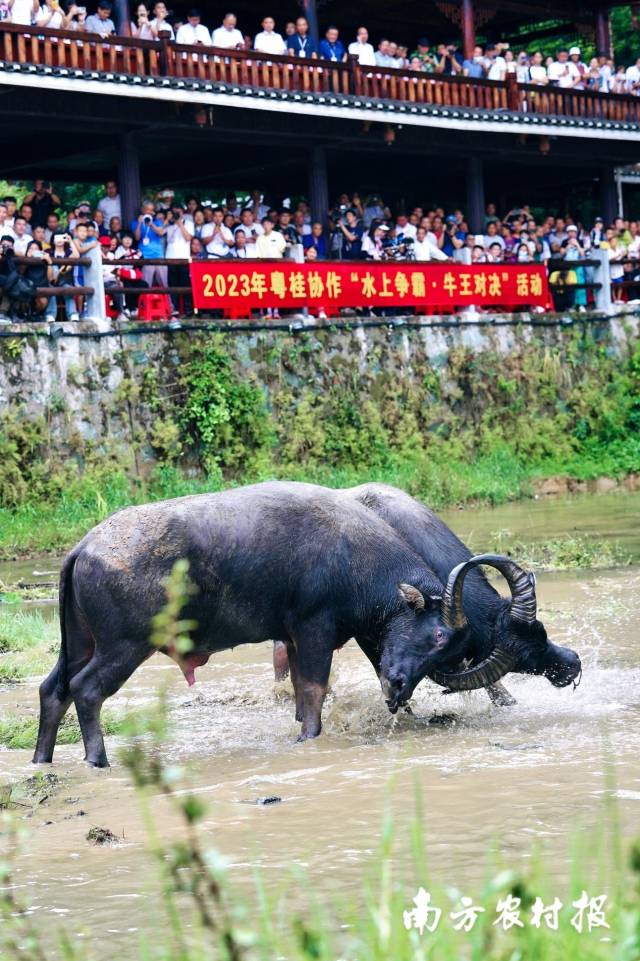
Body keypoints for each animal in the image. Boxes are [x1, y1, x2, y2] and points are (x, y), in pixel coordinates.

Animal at [32, 480, 470, 764]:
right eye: (437, 634)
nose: (397, 688)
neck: (355, 559)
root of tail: (85, 546)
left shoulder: (292, 638)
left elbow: (299, 690)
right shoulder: (314, 629)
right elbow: (314, 689)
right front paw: (309, 737)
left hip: (80, 642)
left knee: (54, 689)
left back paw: (42, 759)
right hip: (124, 645)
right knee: (86, 689)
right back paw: (97, 759)